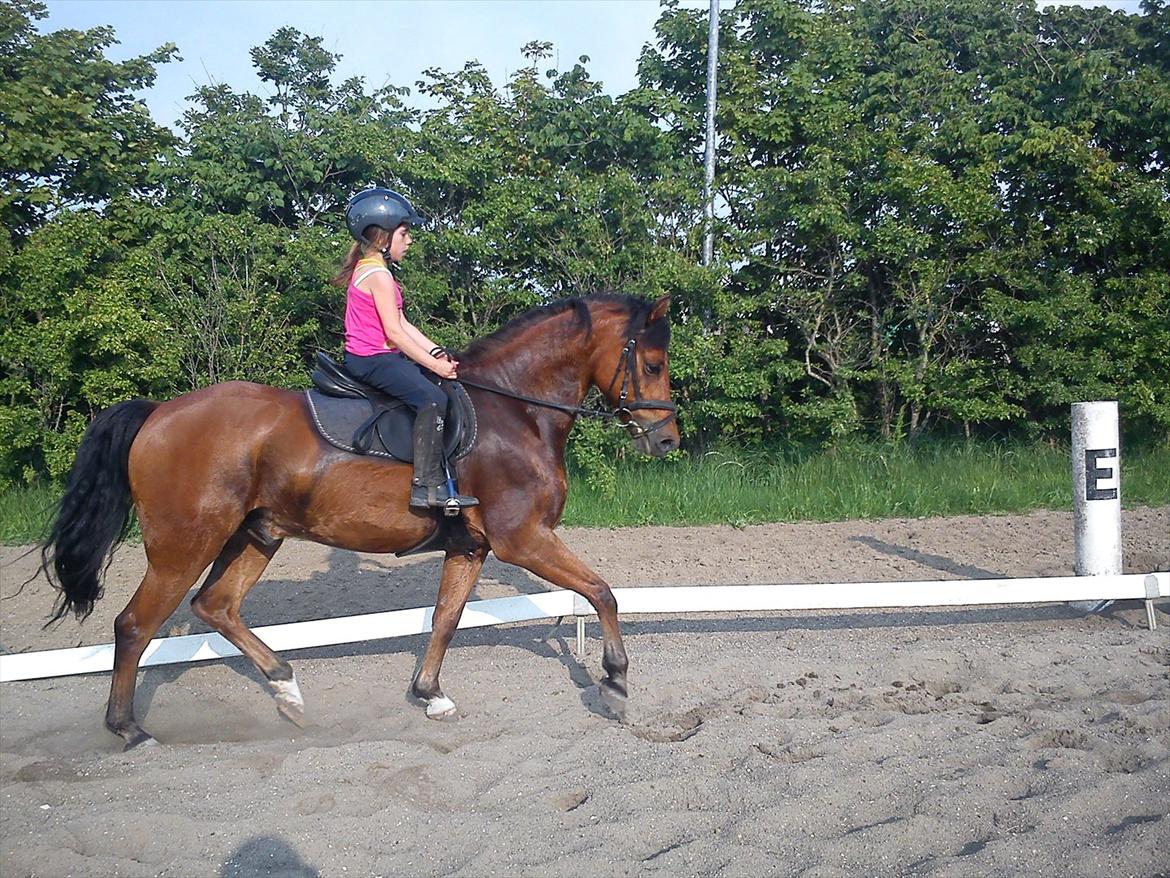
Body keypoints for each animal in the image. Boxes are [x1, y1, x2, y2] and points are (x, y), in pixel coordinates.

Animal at [39, 293, 680, 749]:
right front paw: (615, 682)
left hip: (257, 534)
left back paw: (288, 692)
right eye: (652, 363)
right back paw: (130, 730)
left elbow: (446, 619)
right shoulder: (522, 539)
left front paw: (429, 695)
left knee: (215, 606)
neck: (515, 411)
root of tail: (159, 415)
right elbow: (602, 592)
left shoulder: (471, 547)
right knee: (134, 625)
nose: (668, 440)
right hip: (184, 544)